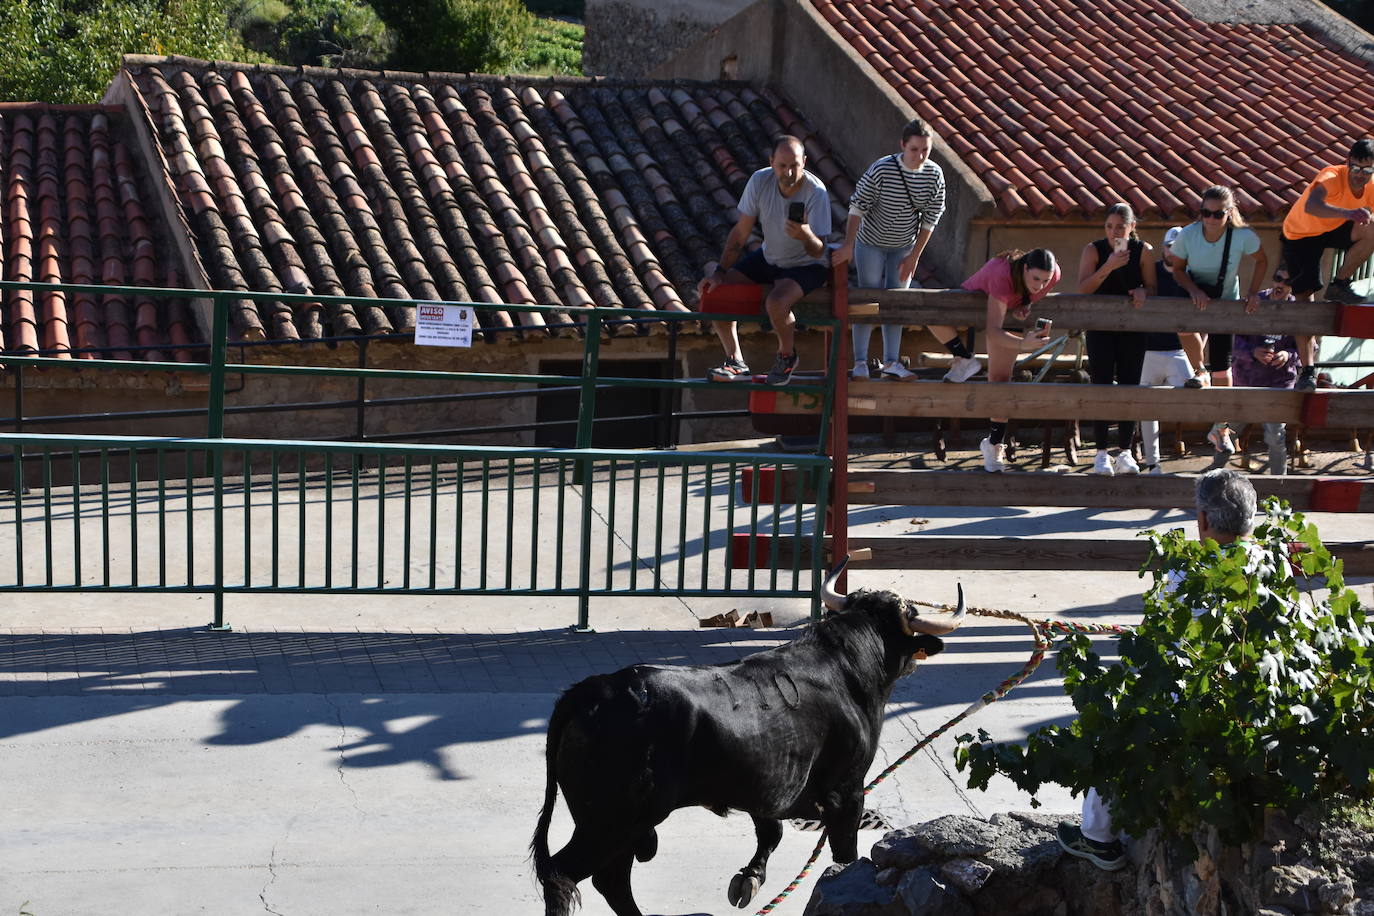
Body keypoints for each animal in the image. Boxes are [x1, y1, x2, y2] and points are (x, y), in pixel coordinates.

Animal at [527, 574, 967, 916]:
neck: (844, 668)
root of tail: (593, 690)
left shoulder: (767, 784)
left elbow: (770, 832)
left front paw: (749, 879)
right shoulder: (847, 790)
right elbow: (844, 855)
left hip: (615, 822)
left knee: (609, 880)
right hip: (611, 821)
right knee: (569, 875)